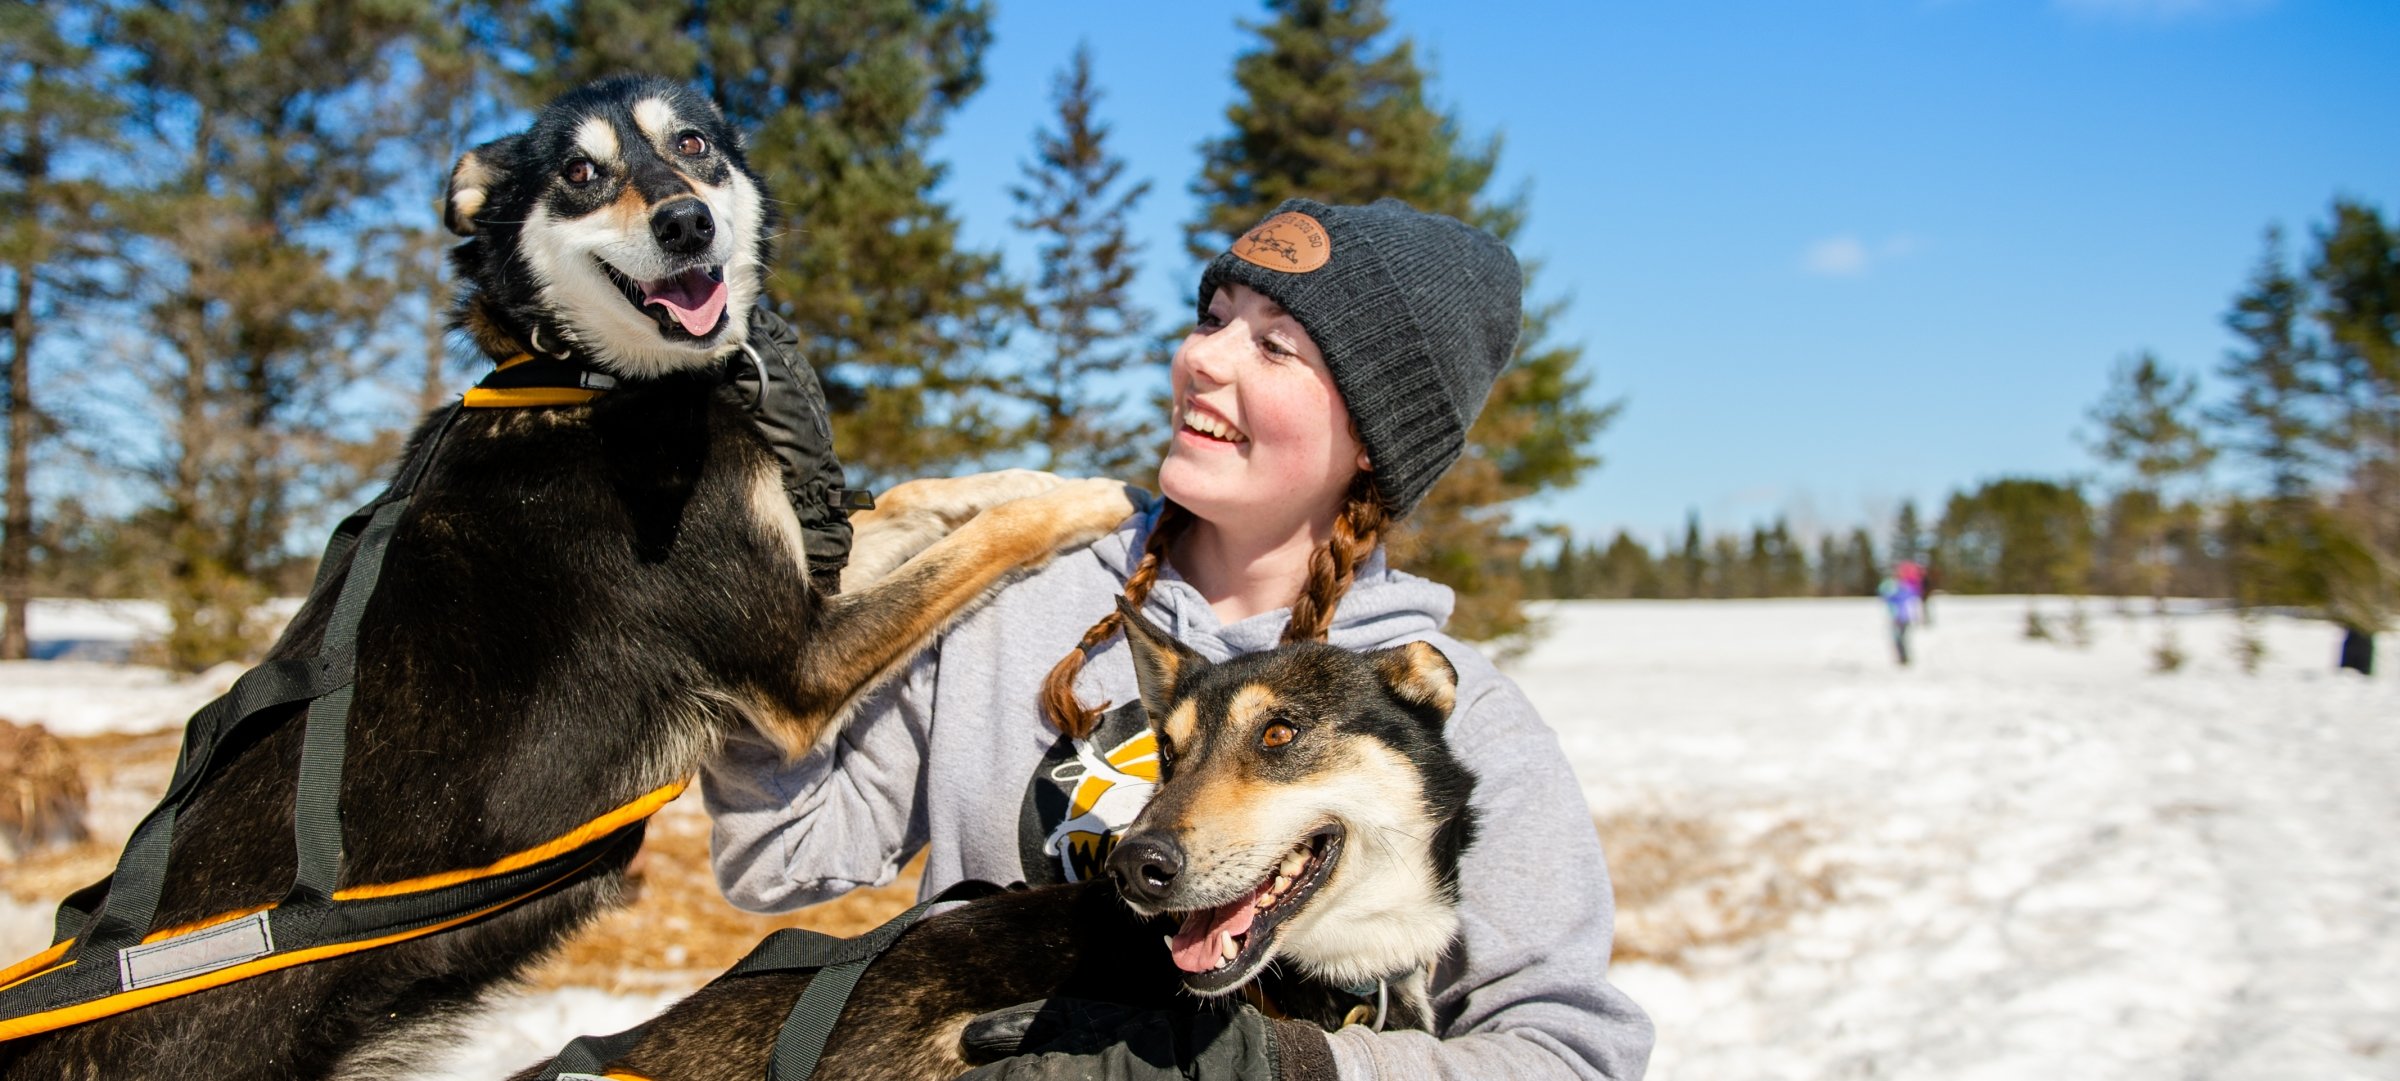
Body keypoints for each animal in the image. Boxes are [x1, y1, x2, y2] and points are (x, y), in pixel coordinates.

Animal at [0, 78, 1137, 1081]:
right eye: (583, 172)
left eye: (691, 144)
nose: (685, 223)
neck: (597, 383)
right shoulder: (800, 662)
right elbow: (980, 539)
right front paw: (1090, 498)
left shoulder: (805, 570)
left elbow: (930, 496)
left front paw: (1032, 473)